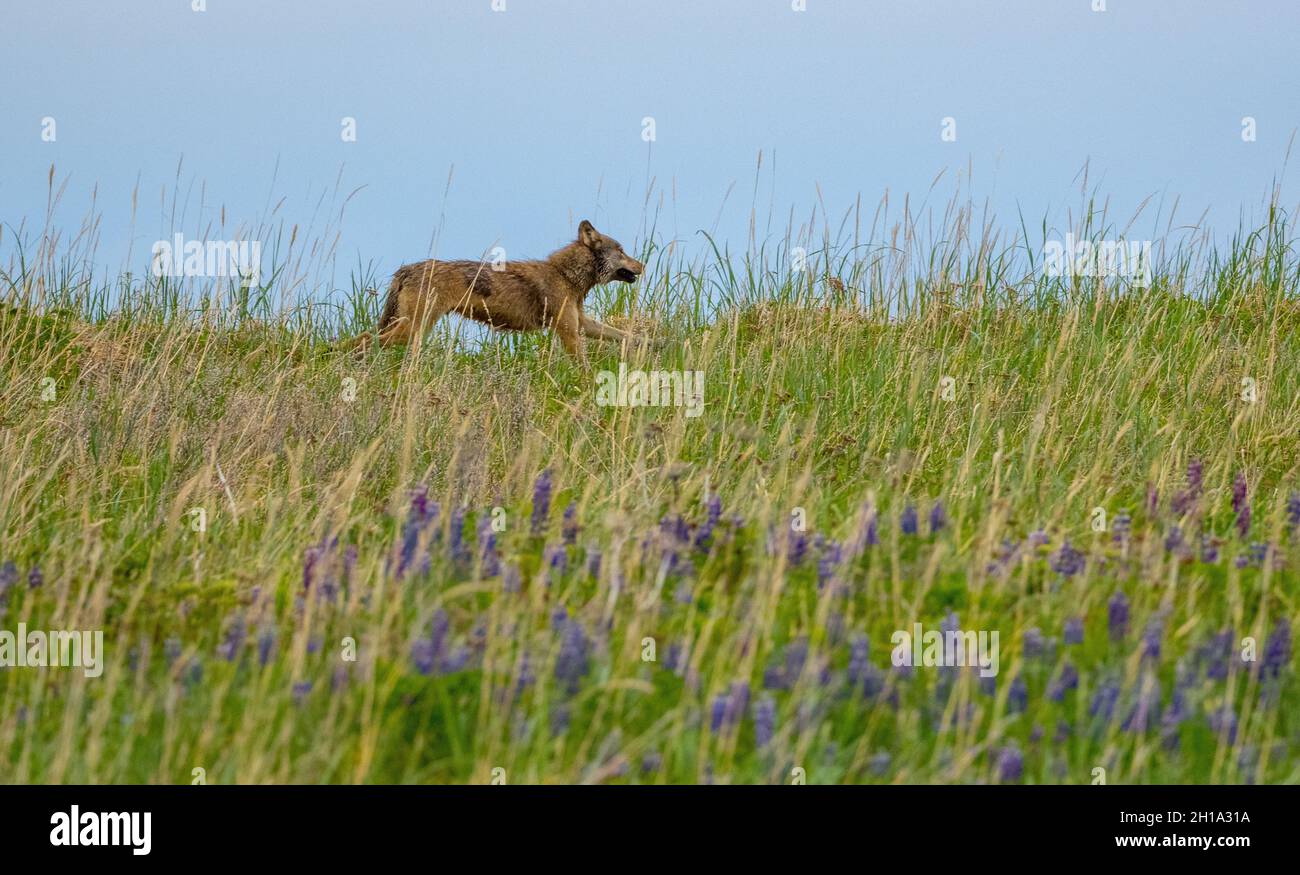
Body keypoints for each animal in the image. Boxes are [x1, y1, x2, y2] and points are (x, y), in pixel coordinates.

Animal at [342, 221, 656, 360]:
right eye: (622, 251)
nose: (643, 264)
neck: (566, 275)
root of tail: (405, 269)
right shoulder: (568, 331)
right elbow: (583, 364)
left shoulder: (582, 323)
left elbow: (625, 335)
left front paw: (655, 343)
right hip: (411, 331)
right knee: (365, 340)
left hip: (405, 328)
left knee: (361, 338)